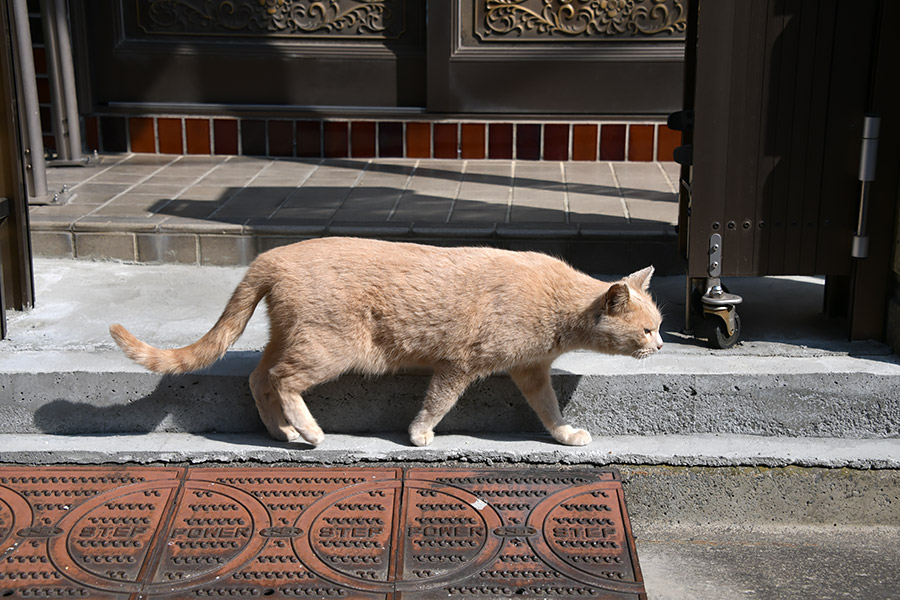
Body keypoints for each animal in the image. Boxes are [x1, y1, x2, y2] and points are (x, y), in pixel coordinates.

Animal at [109, 237, 664, 448]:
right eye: (647, 329)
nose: (661, 347)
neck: (558, 309)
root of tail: (273, 254)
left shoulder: (531, 372)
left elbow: (548, 408)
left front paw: (565, 434)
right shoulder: (459, 364)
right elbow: (438, 403)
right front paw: (419, 435)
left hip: (290, 337)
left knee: (258, 377)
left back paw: (281, 432)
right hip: (329, 348)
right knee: (283, 381)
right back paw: (310, 431)